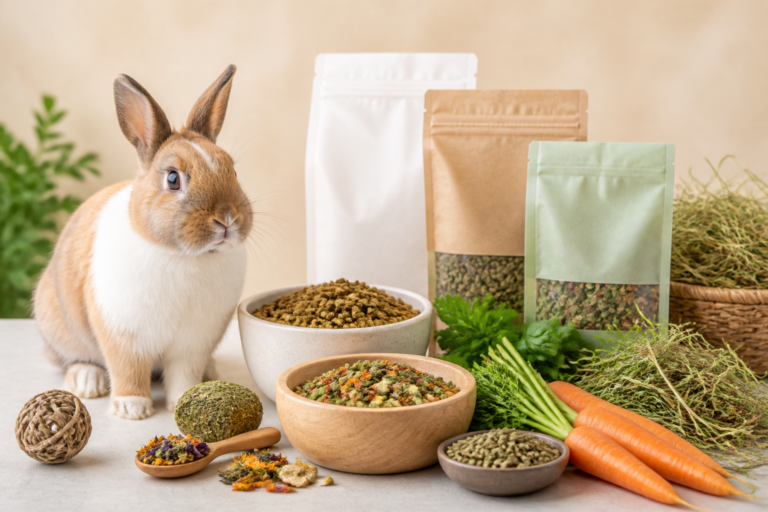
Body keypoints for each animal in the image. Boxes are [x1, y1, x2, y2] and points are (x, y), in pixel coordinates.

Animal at [33, 65, 252, 420]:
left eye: (232, 169)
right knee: (72, 359)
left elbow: (184, 374)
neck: (186, 256)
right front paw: (131, 409)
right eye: (173, 179)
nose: (227, 219)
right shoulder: (123, 335)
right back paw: (87, 380)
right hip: (60, 329)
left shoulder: (193, 343)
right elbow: (128, 370)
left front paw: (183, 399)